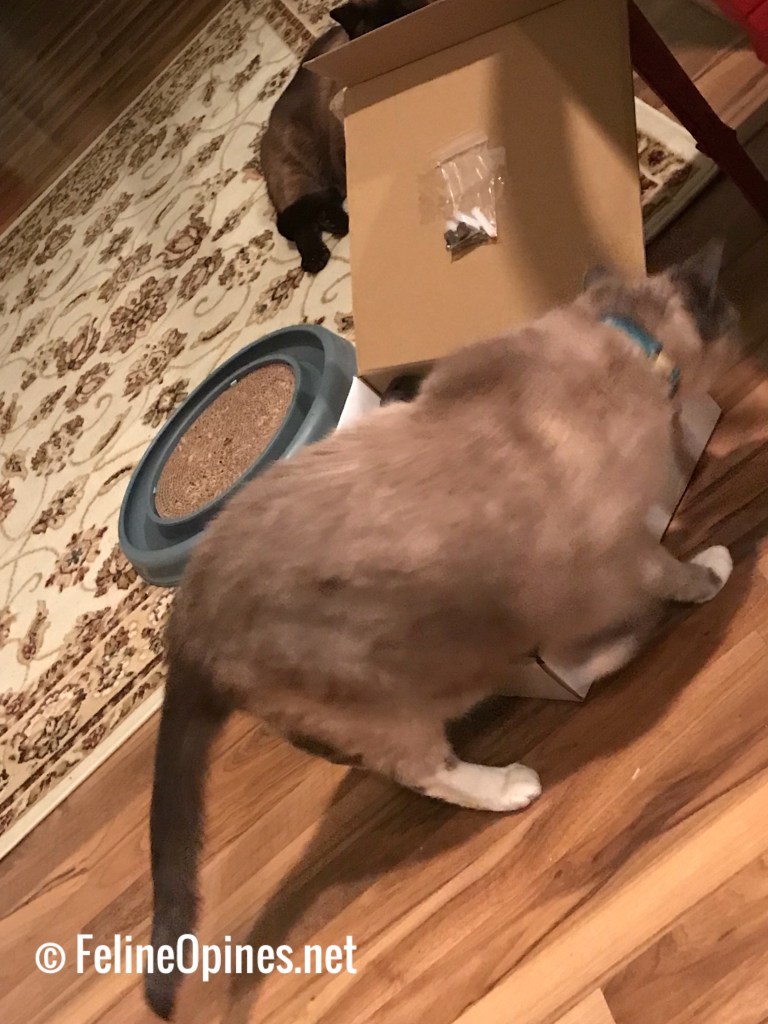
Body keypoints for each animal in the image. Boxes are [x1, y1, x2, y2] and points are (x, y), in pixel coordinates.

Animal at [145, 245, 736, 1019]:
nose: (742, 329)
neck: (618, 339)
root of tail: (184, 617)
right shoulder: (610, 558)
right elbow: (661, 581)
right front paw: (705, 577)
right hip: (386, 697)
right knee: (424, 770)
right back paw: (509, 785)